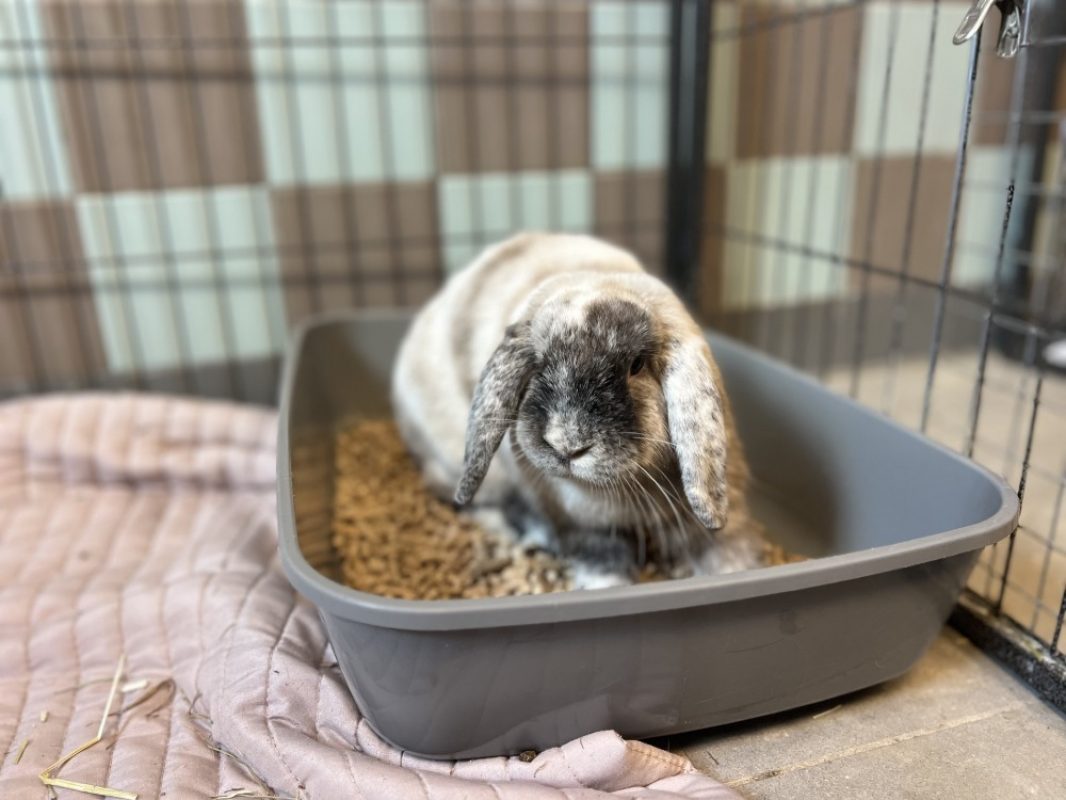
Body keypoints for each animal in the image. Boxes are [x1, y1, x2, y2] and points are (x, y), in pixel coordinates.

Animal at [392, 232, 768, 588]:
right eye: (538, 363)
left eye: (636, 365)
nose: (567, 445)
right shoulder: (581, 525)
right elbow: (601, 558)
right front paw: (606, 585)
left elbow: (727, 549)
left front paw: (738, 571)